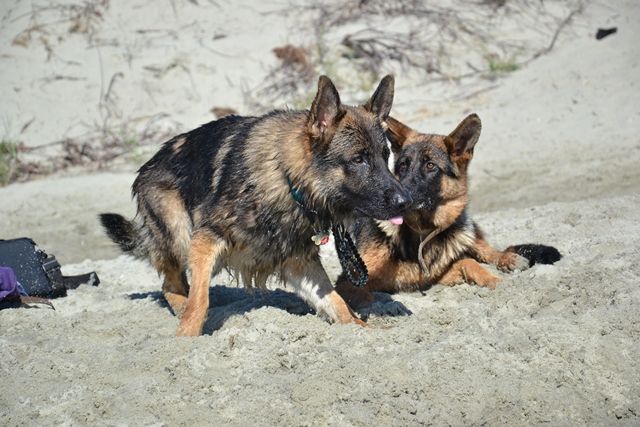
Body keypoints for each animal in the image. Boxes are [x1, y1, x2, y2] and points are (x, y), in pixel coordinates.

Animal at [100, 75, 412, 336]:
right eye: (358, 159)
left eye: (385, 156)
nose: (406, 202)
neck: (288, 180)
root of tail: (147, 165)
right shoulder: (206, 240)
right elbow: (200, 300)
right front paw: (186, 339)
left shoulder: (300, 264)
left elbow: (337, 302)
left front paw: (361, 329)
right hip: (180, 233)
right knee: (172, 285)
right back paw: (180, 314)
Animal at [335, 113, 561, 308]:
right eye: (402, 166)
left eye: (430, 166)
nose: (400, 199)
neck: (421, 231)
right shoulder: (351, 280)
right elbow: (363, 294)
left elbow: (470, 262)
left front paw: (494, 280)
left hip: (464, 230)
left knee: (488, 250)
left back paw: (510, 259)